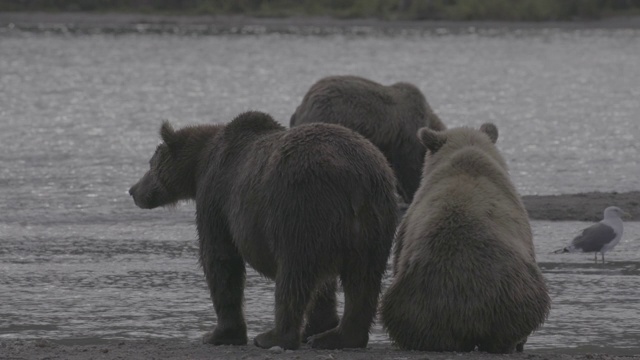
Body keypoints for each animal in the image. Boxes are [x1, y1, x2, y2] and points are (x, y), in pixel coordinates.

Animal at [128, 111, 398, 350]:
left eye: (151, 163)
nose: (133, 190)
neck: (198, 166)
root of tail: (355, 180)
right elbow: (325, 286)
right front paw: (317, 326)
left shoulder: (216, 195)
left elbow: (220, 259)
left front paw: (218, 334)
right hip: (375, 223)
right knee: (363, 281)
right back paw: (340, 337)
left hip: (301, 208)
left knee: (293, 275)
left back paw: (274, 336)